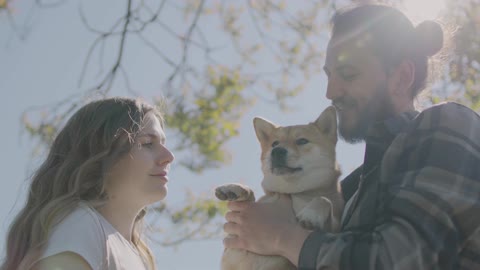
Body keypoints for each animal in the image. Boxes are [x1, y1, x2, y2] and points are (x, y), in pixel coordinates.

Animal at [216, 106, 344, 270]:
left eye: (302, 141)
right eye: (274, 144)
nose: (277, 151)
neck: (294, 192)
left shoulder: (335, 226)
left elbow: (324, 199)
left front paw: (311, 215)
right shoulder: (233, 247)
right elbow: (251, 197)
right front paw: (235, 188)